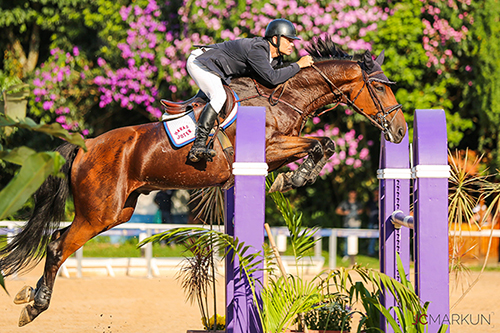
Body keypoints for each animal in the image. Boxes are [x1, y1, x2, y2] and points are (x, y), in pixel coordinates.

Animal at [0, 40, 406, 326]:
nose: (401, 131)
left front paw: (295, 177)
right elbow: (323, 143)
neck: (282, 98)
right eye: (382, 88)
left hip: (117, 212)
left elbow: (324, 145)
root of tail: (85, 147)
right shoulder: (269, 147)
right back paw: (34, 306)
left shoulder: (277, 150)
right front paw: (295, 178)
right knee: (57, 245)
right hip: (101, 213)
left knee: (57, 239)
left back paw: (27, 295)